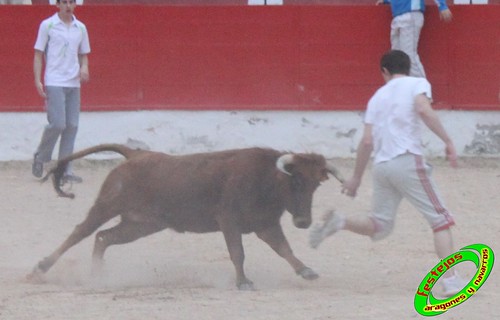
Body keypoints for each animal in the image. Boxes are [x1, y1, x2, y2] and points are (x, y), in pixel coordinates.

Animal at [28, 145, 344, 290]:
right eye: (297, 182)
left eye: (316, 185)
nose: (303, 222)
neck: (266, 178)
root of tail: (135, 154)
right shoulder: (229, 221)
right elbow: (237, 252)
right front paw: (243, 282)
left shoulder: (265, 225)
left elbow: (284, 249)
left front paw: (306, 271)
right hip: (107, 205)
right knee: (80, 232)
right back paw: (41, 267)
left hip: (142, 224)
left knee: (103, 237)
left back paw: (98, 276)